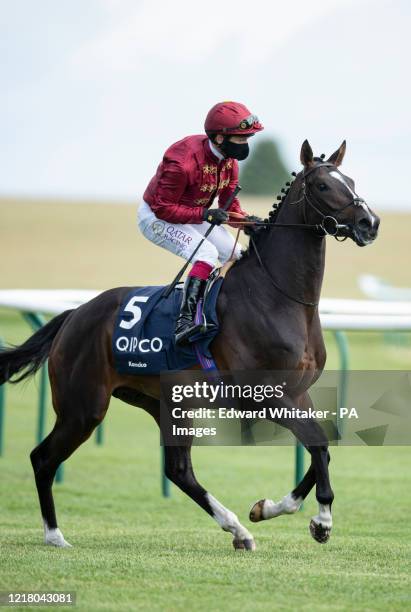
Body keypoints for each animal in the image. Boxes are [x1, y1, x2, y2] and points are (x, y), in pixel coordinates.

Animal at [0, 140, 380, 548]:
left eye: (351, 181)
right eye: (323, 186)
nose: (369, 223)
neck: (278, 296)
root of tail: (74, 315)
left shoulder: (298, 393)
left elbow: (322, 444)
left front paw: (267, 508)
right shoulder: (264, 396)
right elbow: (318, 444)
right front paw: (322, 520)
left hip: (164, 403)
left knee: (179, 470)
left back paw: (238, 529)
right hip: (83, 407)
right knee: (43, 458)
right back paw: (54, 534)